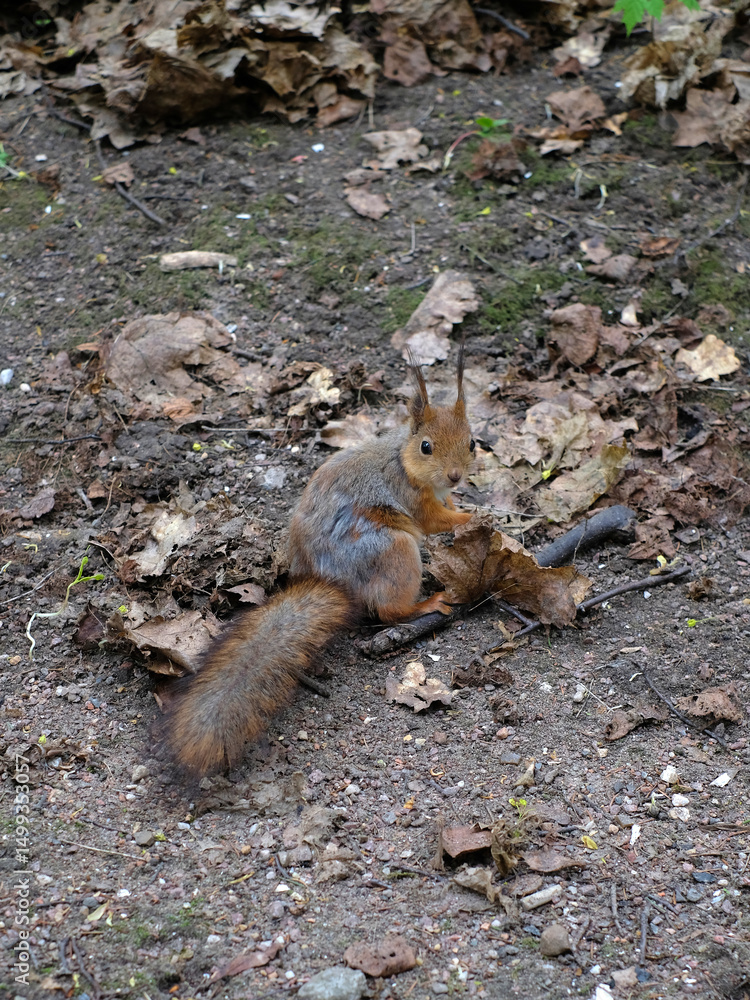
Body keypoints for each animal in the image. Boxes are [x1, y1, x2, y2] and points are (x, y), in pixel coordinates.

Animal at [164, 348, 475, 777]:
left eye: (473, 442)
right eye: (426, 446)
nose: (457, 476)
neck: (401, 456)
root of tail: (333, 581)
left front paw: (463, 507)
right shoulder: (410, 495)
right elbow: (432, 520)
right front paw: (474, 517)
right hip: (393, 550)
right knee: (389, 611)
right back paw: (426, 603)